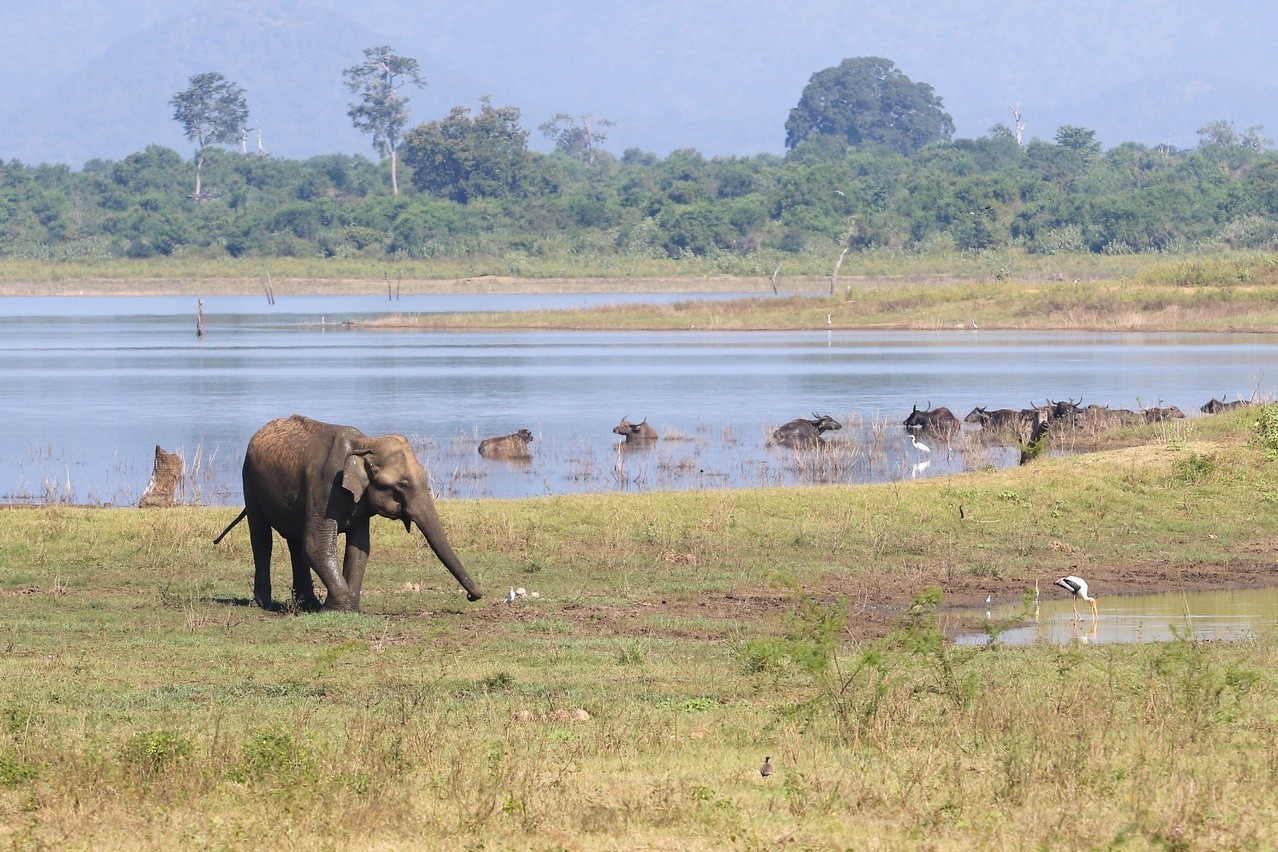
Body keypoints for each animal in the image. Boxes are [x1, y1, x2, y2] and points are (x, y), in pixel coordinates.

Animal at [214, 413, 483, 610]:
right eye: (400, 486)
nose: (473, 597)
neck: (365, 444)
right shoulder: (324, 486)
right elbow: (317, 545)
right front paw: (337, 608)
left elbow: (360, 547)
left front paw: (350, 607)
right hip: (249, 482)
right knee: (262, 540)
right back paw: (264, 604)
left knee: (294, 542)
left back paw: (307, 604)